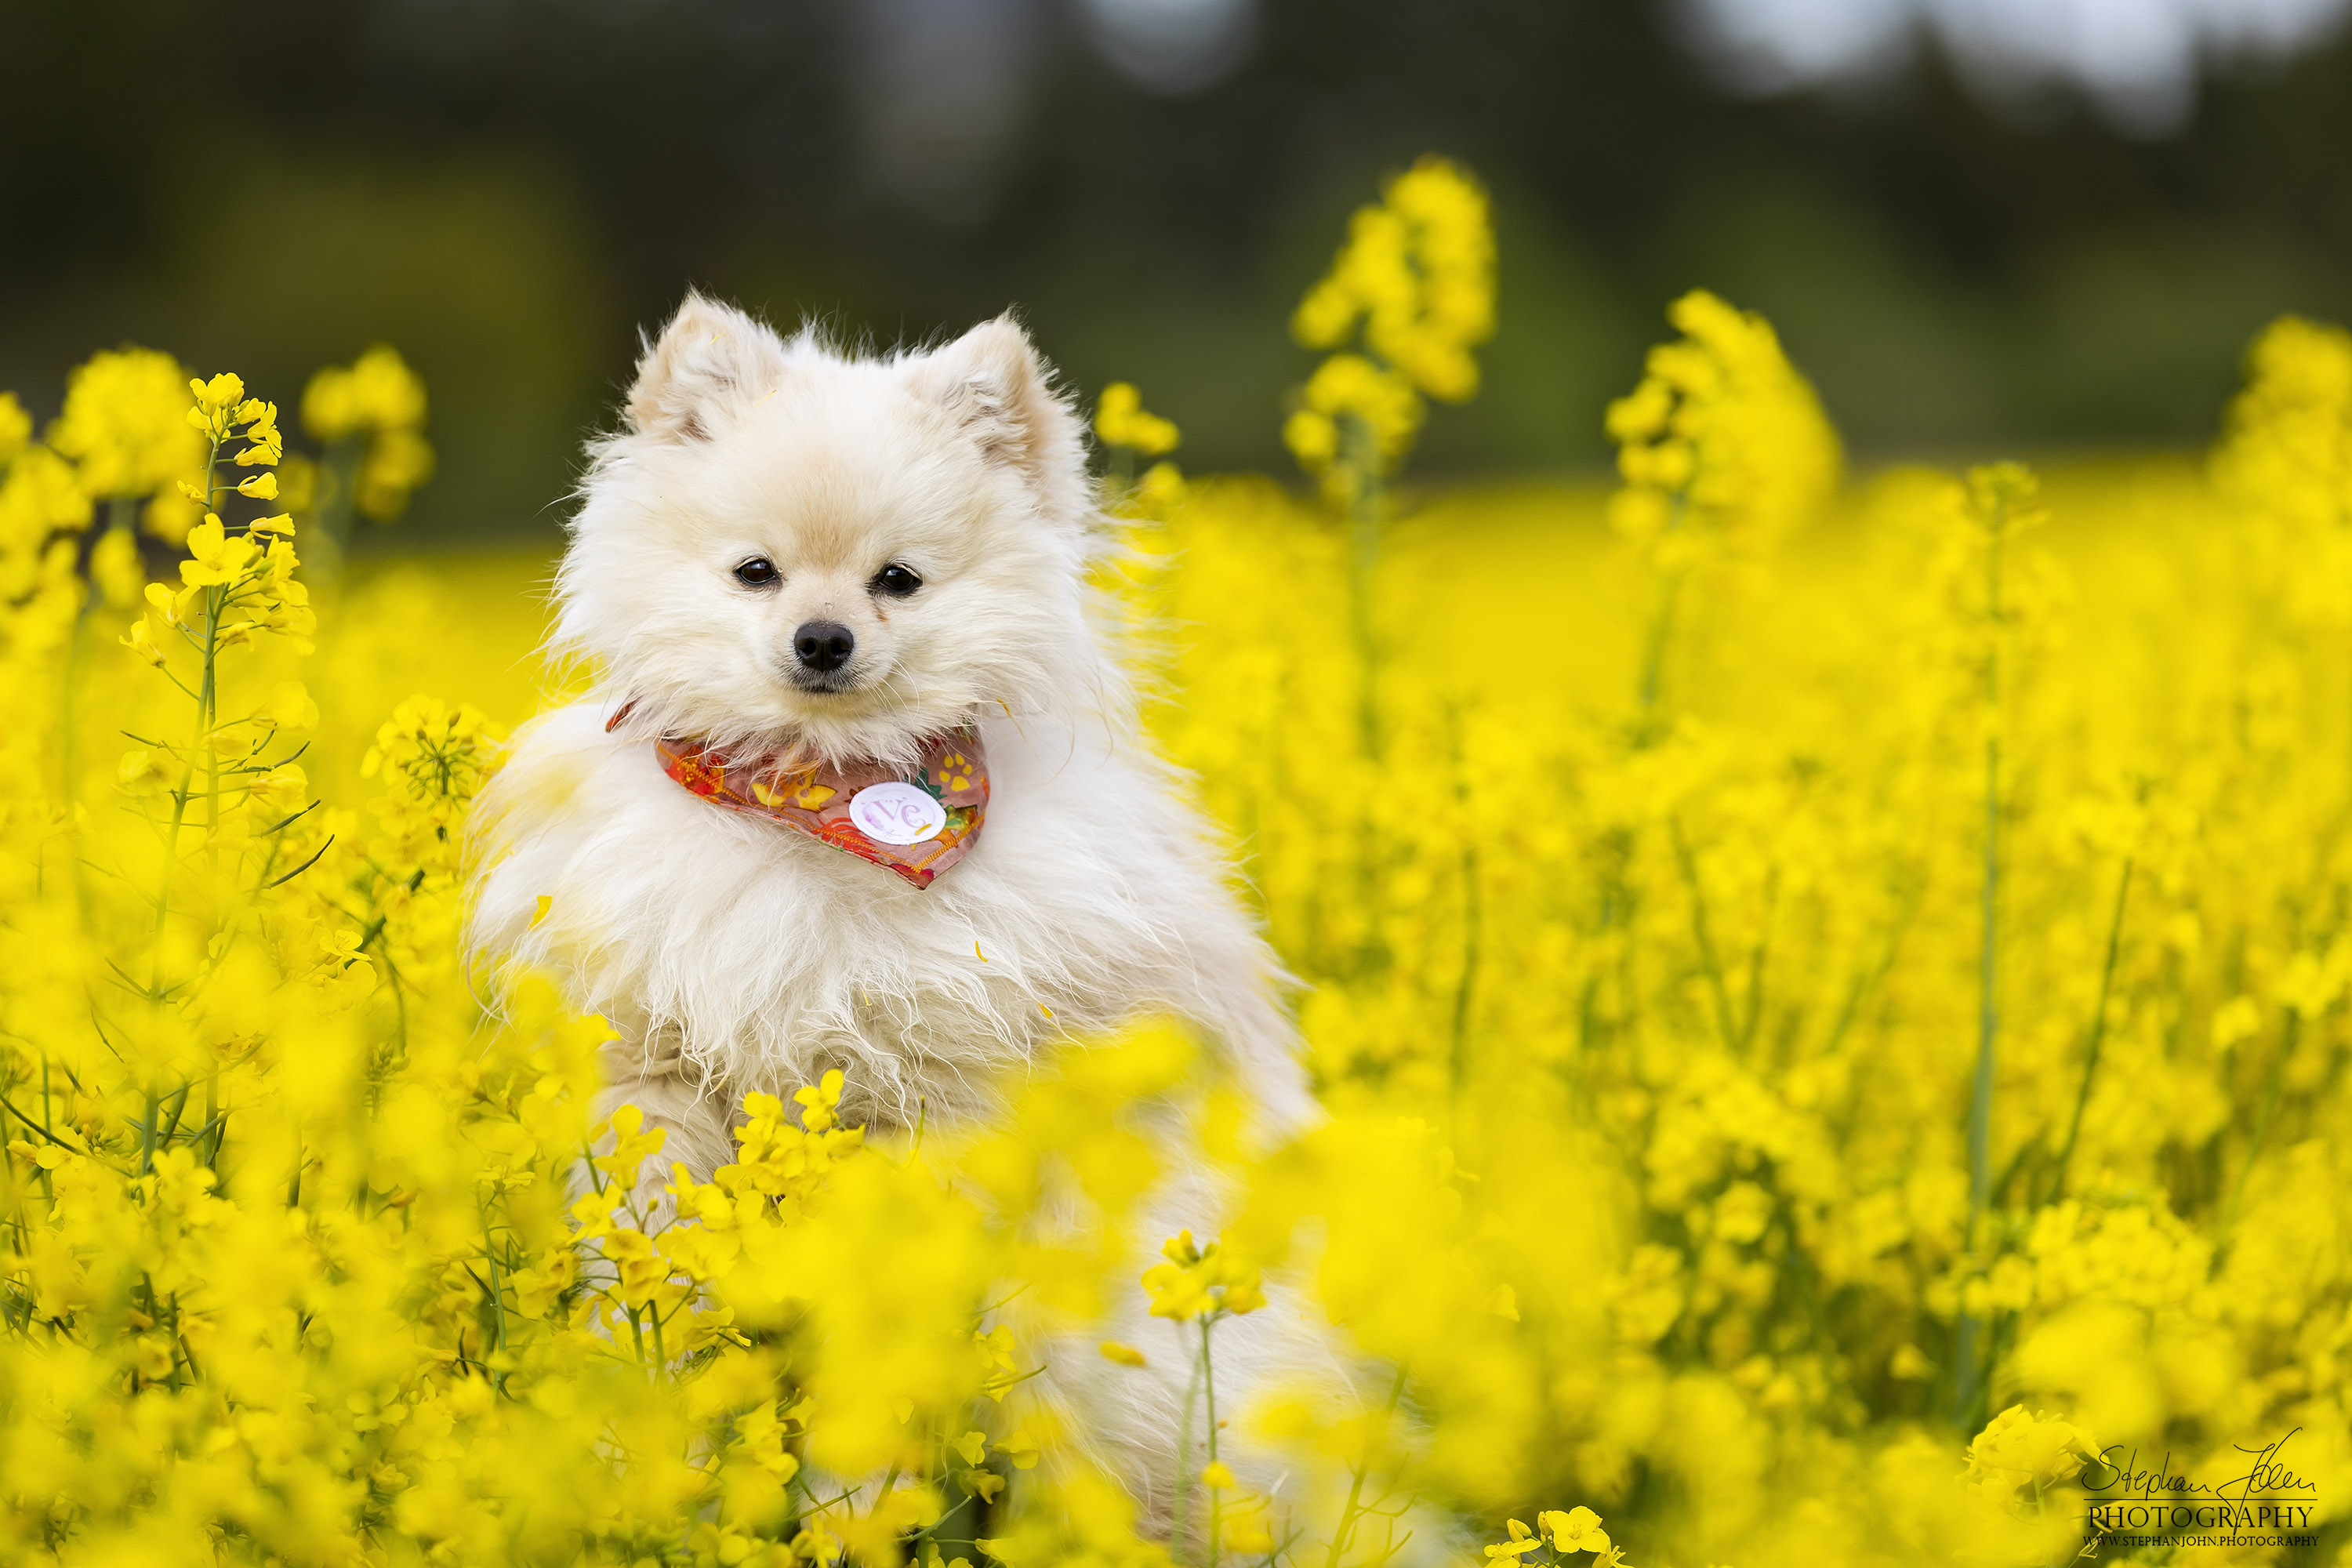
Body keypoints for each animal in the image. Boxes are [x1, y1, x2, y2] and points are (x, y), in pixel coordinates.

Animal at [461, 293, 1355, 1533]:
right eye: (756, 572)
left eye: (898, 580)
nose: (822, 638)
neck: (813, 803)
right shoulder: (653, 1079)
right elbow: (653, 1261)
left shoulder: (915, 1116)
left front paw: (853, 1517)